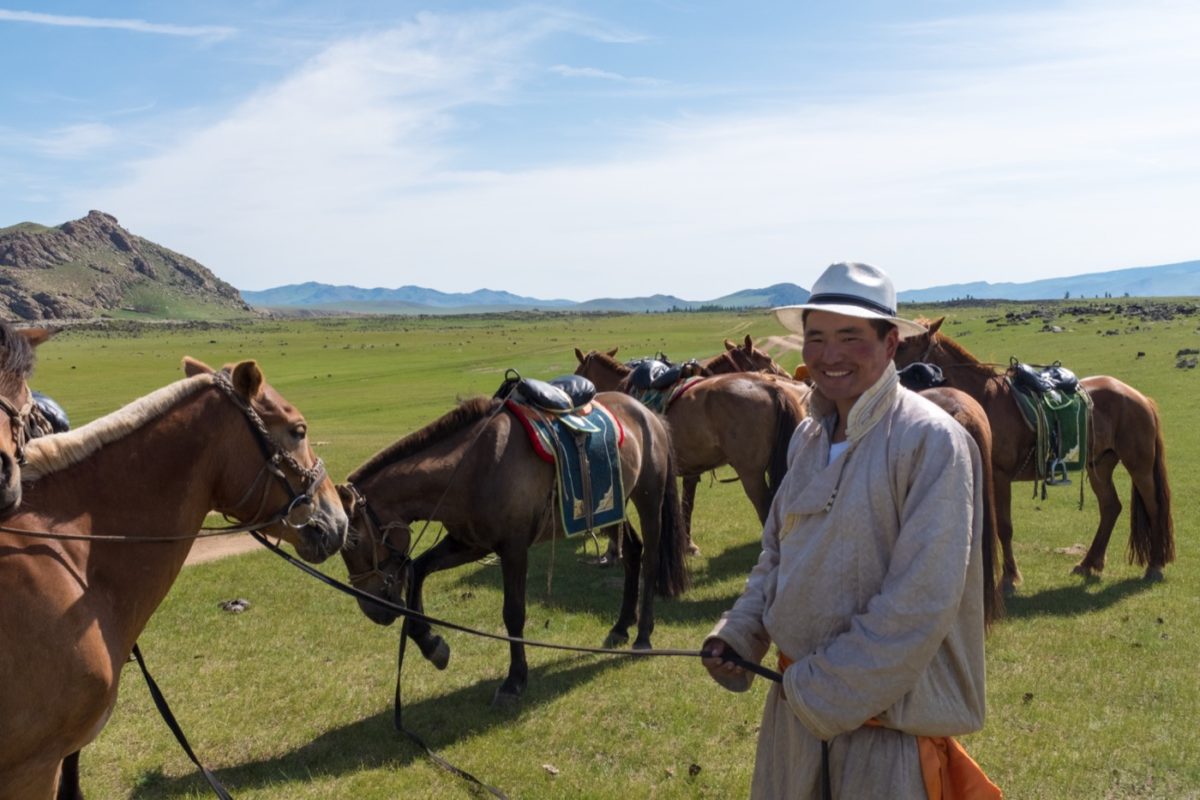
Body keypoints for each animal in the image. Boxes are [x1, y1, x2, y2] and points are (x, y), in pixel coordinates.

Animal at [343, 391, 691, 705]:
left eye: (353, 541)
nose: (373, 610)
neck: (473, 466)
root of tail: (647, 413)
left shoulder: (513, 548)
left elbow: (513, 612)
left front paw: (515, 680)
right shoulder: (470, 543)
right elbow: (418, 569)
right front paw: (432, 644)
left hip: (648, 498)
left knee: (650, 559)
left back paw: (643, 636)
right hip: (610, 507)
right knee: (632, 552)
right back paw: (620, 626)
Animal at [573, 347, 816, 554]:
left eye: (577, 372)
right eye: (765, 358)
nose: (790, 375)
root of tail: (772, 388)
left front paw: (613, 550)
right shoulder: (690, 469)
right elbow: (686, 504)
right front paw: (687, 545)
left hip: (751, 474)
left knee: (766, 509)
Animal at [897, 316, 1176, 592]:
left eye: (903, 345)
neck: (983, 400)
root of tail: (1141, 398)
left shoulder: (999, 477)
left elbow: (1004, 527)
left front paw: (1009, 579)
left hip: (1139, 466)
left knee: (1153, 506)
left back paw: (1154, 565)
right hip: (1100, 465)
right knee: (1110, 507)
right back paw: (1088, 563)